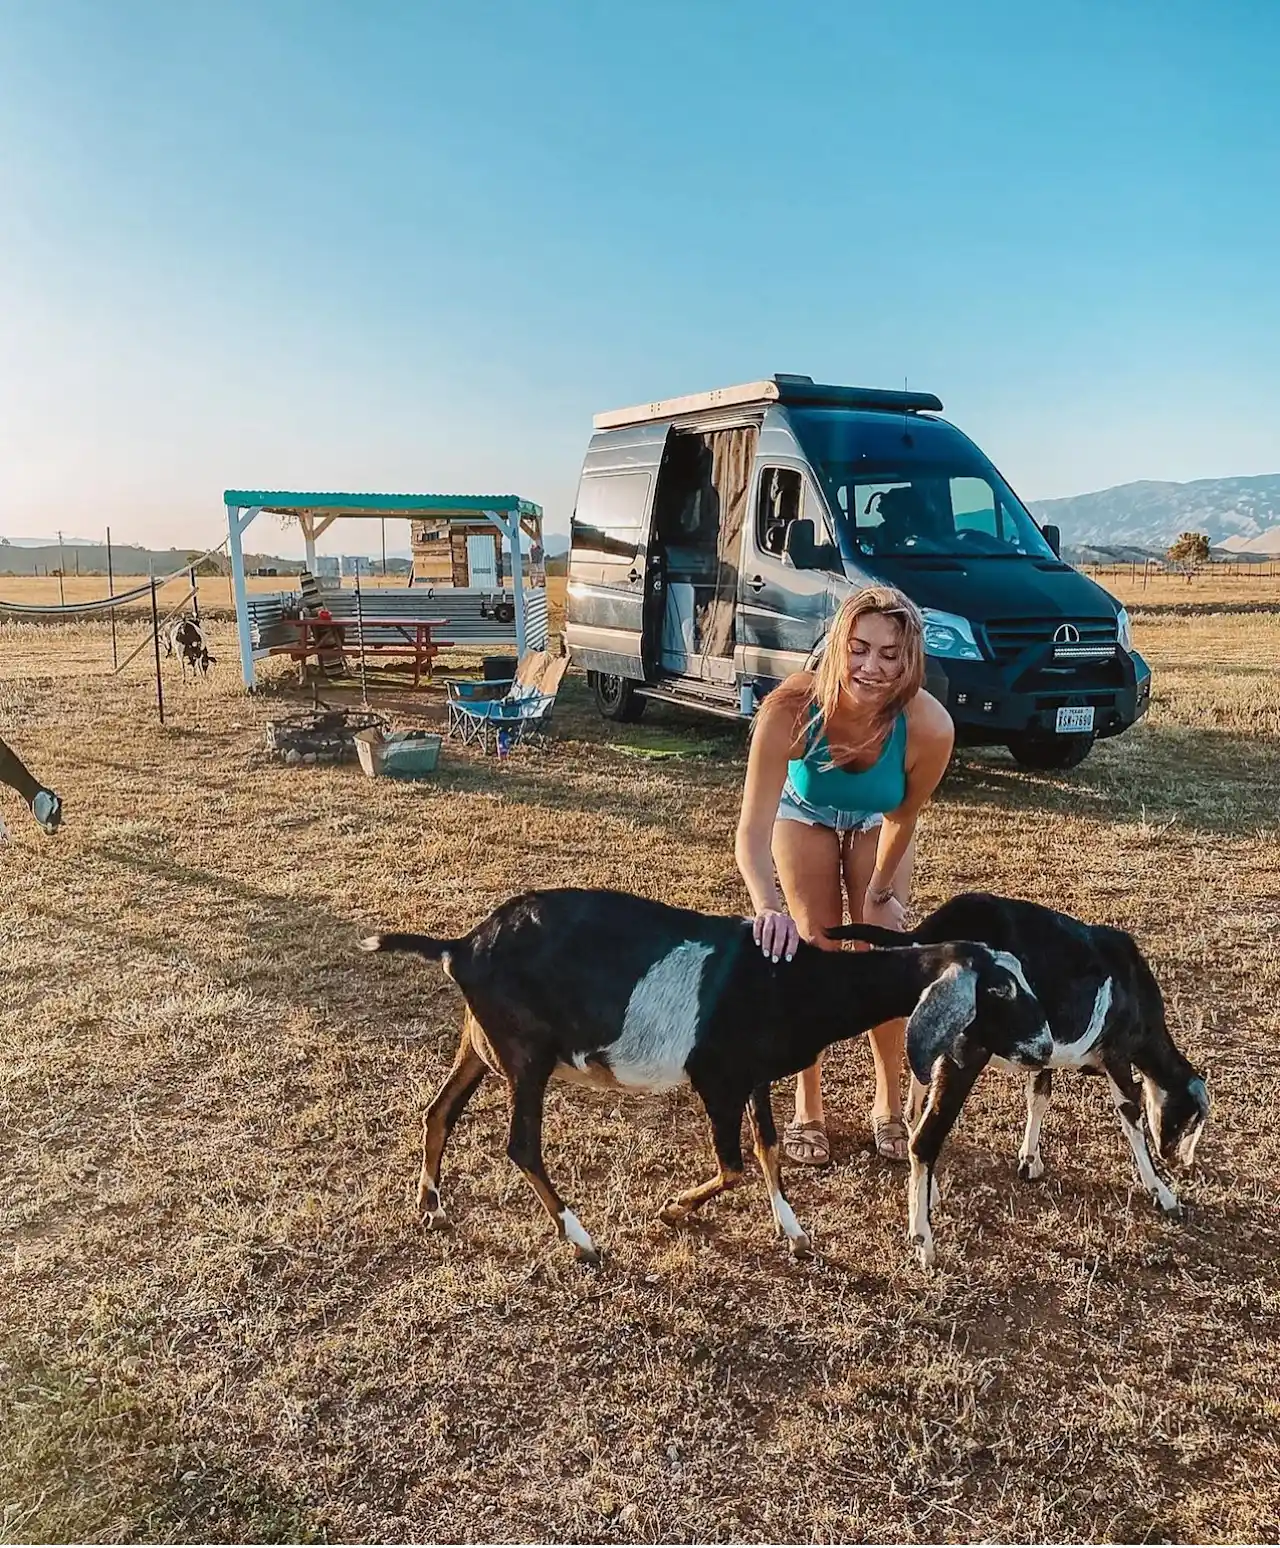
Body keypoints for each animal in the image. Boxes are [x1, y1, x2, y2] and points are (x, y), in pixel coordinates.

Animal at [360, 891, 1052, 1263]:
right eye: (998, 987)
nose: (1046, 1043)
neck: (790, 981)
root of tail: (460, 946)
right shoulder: (717, 1079)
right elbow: (734, 1165)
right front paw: (672, 1209)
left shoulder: (755, 1079)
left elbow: (768, 1150)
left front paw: (794, 1232)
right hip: (526, 1056)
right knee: (521, 1145)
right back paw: (582, 1240)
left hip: (482, 1042)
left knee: (439, 1111)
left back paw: (431, 1205)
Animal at [841, 897, 1213, 1269]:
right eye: (1186, 1119)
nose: (1172, 1156)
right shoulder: (1117, 1056)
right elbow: (1131, 1117)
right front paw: (1164, 1193)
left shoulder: (1042, 1054)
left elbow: (1039, 1096)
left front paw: (1030, 1162)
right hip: (965, 1055)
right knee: (924, 1141)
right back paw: (924, 1243)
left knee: (913, 1111)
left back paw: (929, 1199)